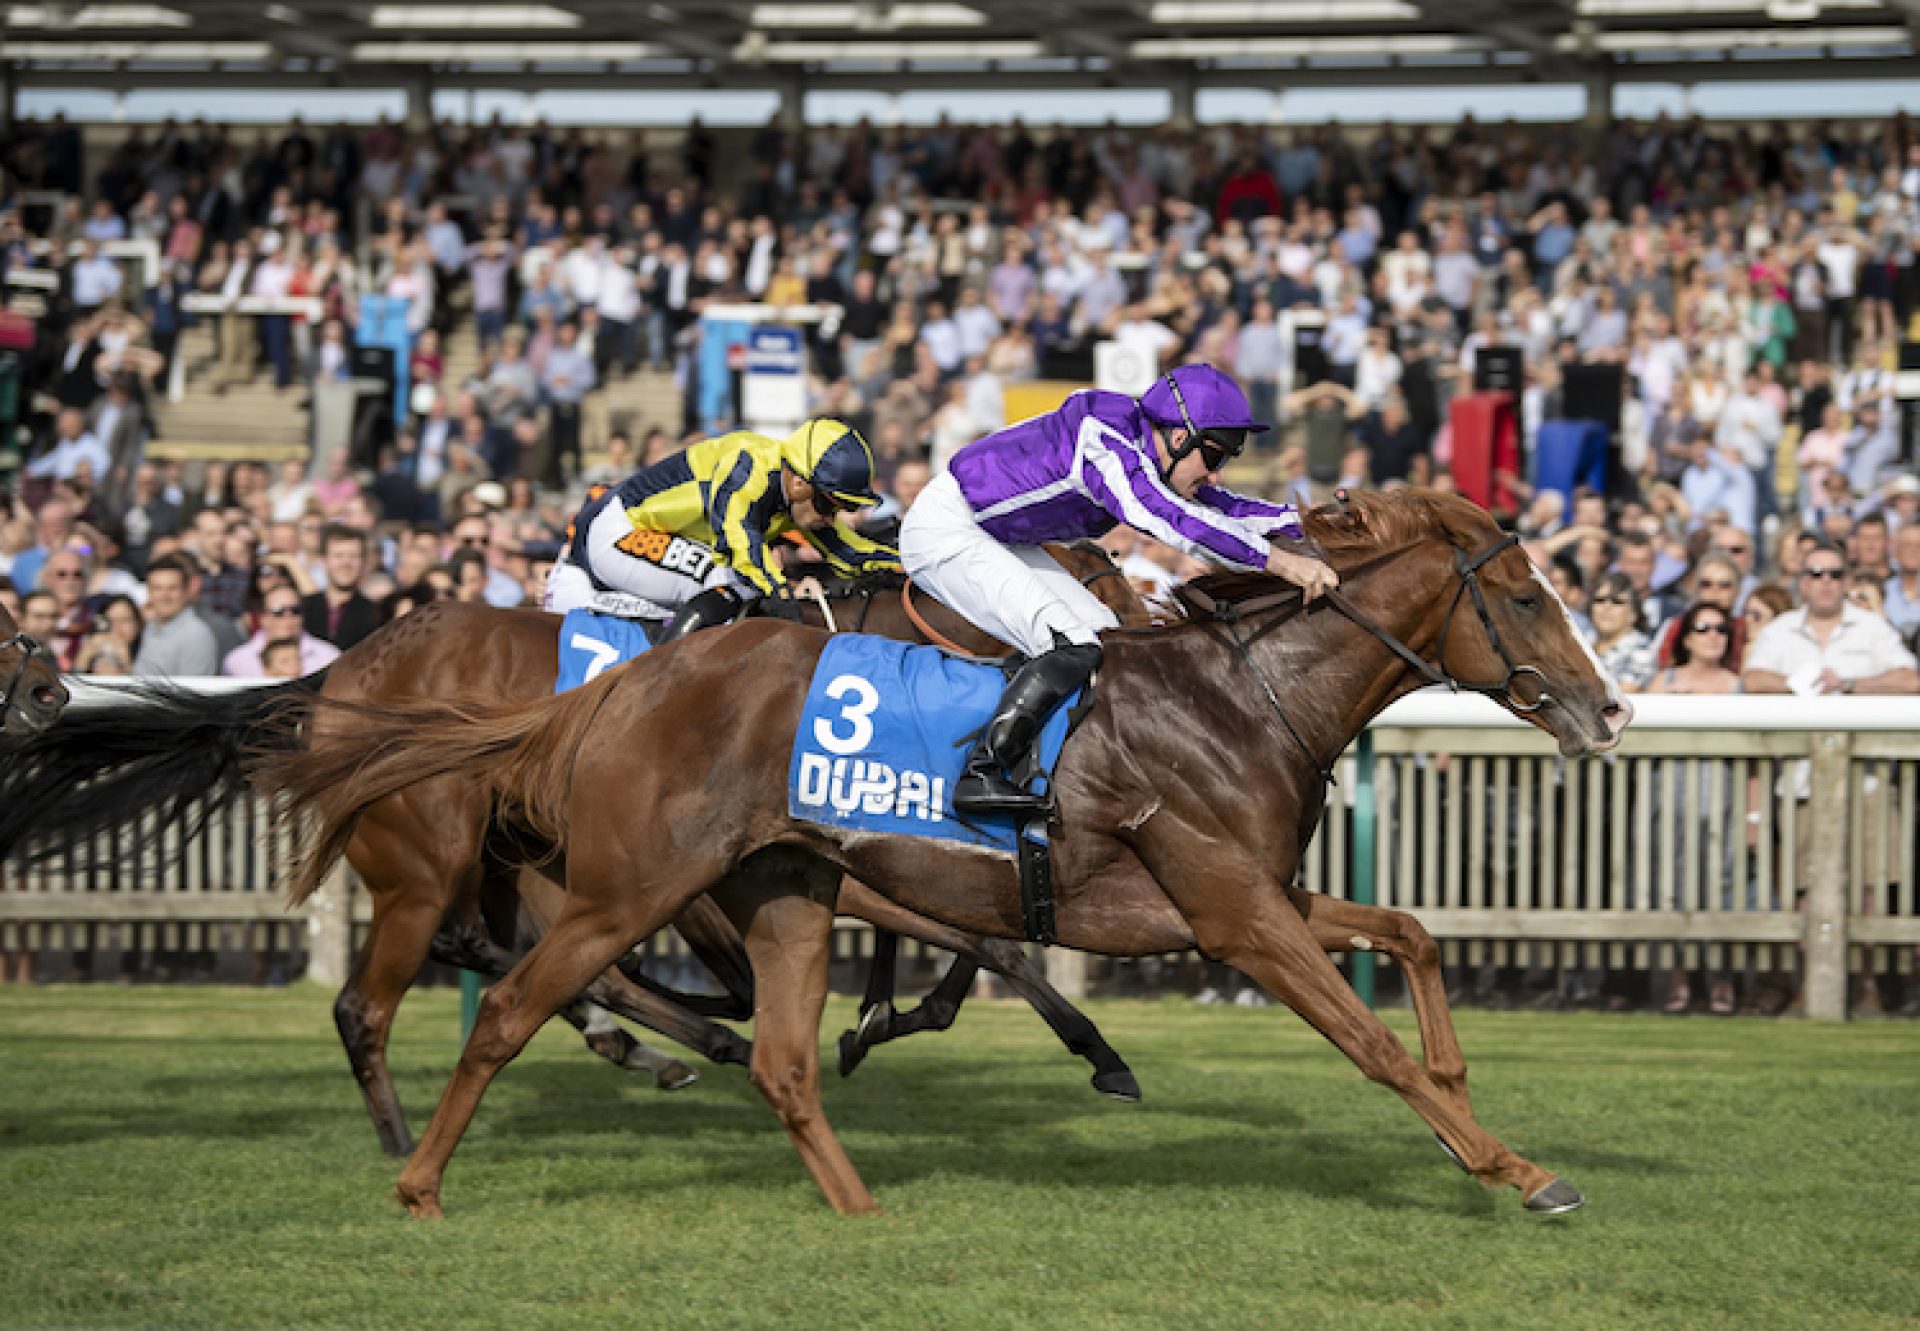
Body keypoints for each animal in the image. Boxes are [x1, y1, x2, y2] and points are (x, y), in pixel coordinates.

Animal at [259, 489, 1635, 1213]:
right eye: (1524, 597)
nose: (1608, 707)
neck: (1239, 694)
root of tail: (625, 680)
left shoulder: (1262, 895)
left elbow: (1411, 933)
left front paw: (1466, 1100)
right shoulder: (1234, 914)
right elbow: (1367, 1044)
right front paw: (1518, 1168)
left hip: (782, 885)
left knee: (775, 1056)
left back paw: (856, 1201)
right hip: (610, 880)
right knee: (495, 1003)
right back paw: (420, 1175)